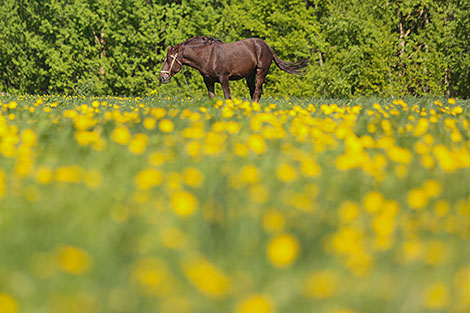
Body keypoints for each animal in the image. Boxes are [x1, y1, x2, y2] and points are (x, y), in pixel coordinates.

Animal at [160, 36, 310, 101]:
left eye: (169, 59)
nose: (162, 78)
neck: (208, 56)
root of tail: (268, 48)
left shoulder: (224, 78)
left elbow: (228, 97)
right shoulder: (208, 81)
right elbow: (212, 98)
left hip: (260, 73)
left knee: (257, 92)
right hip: (250, 76)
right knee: (254, 92)